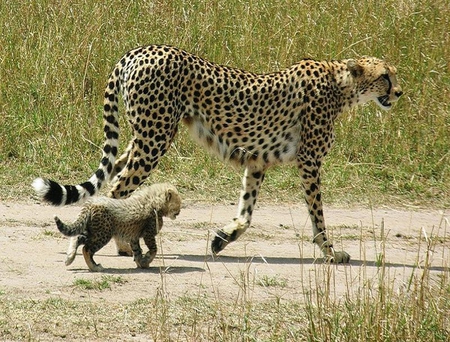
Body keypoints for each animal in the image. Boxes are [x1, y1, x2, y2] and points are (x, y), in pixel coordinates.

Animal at [33, 44, 402, 262]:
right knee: (116, 189)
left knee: (114, 176)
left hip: (143, 136)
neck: (342, 85)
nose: (400, 92)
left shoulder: (257, 160)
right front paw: (331, 252)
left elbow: (247, 212)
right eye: (385, 76)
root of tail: (138, 50)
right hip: (154, 140)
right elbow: (318, 214)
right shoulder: (309, 161)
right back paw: (122, 246)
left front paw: (223, 238)